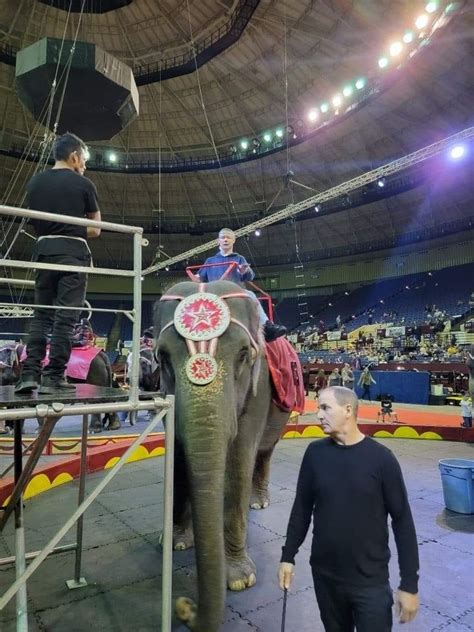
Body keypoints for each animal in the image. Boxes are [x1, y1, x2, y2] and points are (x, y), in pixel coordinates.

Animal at [154, 280, 290, 632]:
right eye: (162, 357)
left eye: (244, 354)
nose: (183, 606)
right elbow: (178, 455)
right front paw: (174, 542)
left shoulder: (260, 388)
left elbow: (239, 460)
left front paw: (240, 580)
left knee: (264, 451)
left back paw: (258, 501)